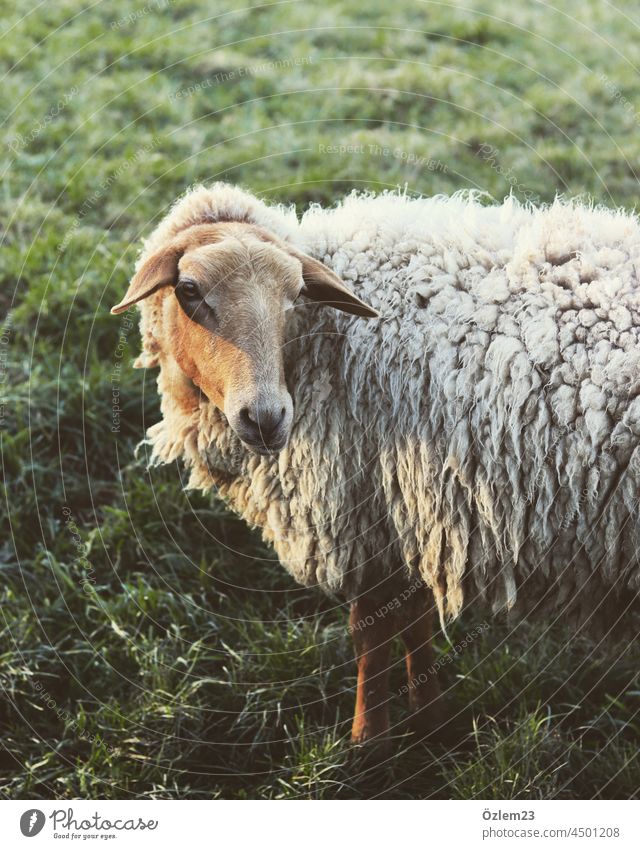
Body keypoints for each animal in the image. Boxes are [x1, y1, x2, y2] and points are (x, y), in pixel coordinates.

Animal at [112, 182, 640, 744]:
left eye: (294, 294)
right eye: (189, 291)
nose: (267, 417)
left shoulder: (369, 514)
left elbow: (372, 635)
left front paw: (369, 738)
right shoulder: (414, 516)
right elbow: (413, 621)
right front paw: (430, 718)